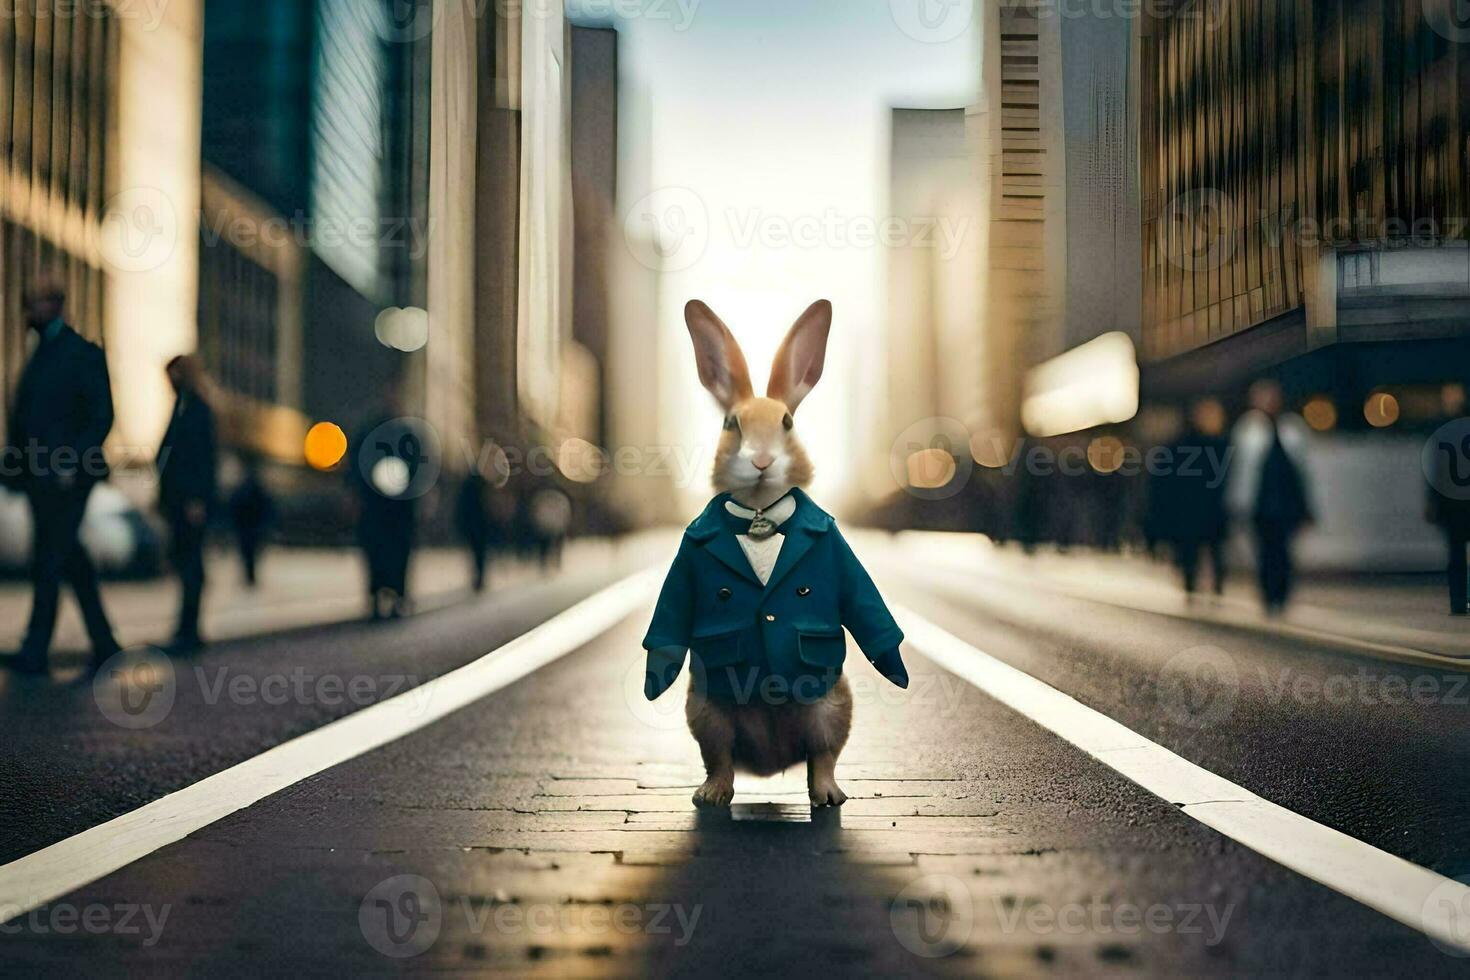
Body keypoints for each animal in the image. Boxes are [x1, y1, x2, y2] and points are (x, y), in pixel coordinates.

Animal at [643, 302, 905, 811]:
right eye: (731, 425)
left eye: (787, 423)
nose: (761, 461)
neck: (761, 515)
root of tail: (768, 763)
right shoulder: (686, 563)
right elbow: (671, 612)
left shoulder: (836, 552)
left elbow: (864, 602)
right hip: (707, 712)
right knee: (720, 759)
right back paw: (711, 795)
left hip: (830, 707)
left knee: (821, 757)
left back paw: (829, 796)